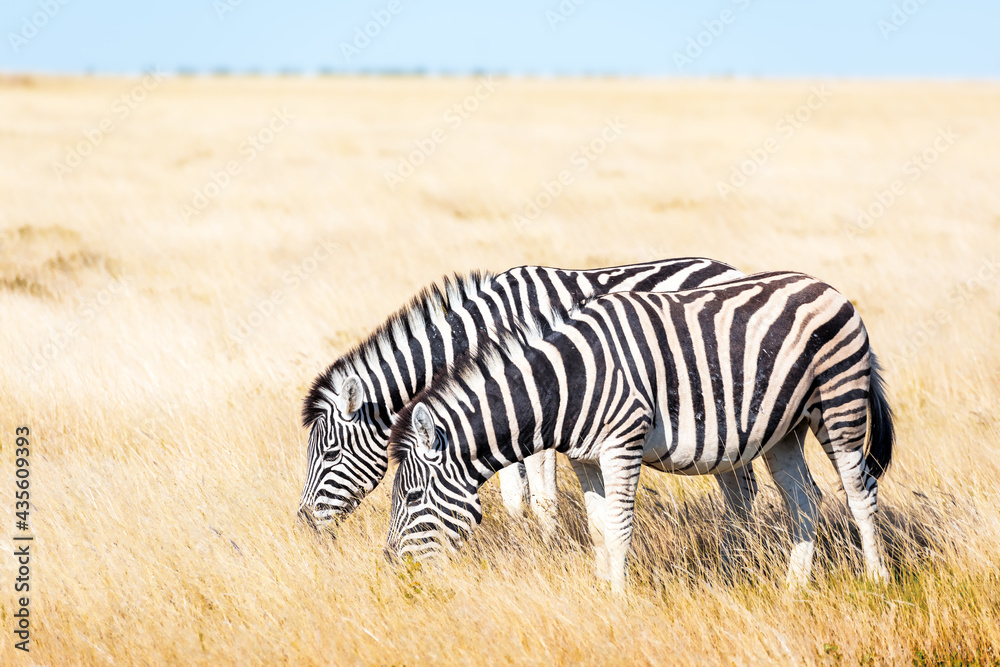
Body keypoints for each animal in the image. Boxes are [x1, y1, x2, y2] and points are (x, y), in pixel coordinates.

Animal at [296, 258, 752, 536]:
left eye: (330, 454)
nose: (303, 523)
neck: (483, 331)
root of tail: (727, 267)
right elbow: (514, 496)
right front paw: (521, 539)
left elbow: (543, 495)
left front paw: (548, 546)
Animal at [386, 272, 896, 596]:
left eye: (411, 498)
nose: (390, 566)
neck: (568, 383)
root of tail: (829, 288)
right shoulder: (584, 458)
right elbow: (597, 524)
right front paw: (599, 587)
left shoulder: (623, 444)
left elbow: (619, 525)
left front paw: (618, 597)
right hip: (783, 429)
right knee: (805, 498)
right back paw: (795, 587)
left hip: (839, 405)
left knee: (860, 491)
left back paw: (877, 580)